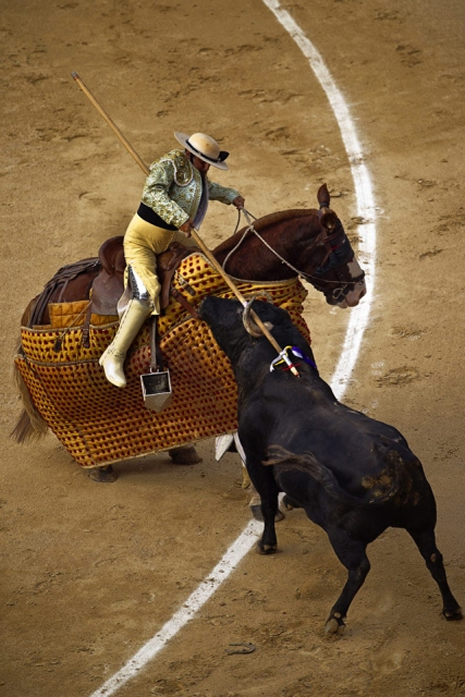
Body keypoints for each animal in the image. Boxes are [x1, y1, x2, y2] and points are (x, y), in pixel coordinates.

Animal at [11, 185, 366, 486]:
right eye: (341, 247)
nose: (359, 290)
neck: (236, 278)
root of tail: (45, 293)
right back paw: (102, 467)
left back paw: (182, 452)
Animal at [198, 296, 460, 632]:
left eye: (233, 309)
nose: (206, 300)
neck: (274, 374)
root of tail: (397, 463)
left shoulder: (256, 460)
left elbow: (268, 505)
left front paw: (267, 545)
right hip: (422, 520)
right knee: (434, 557)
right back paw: (451, 609)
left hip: (342, 533)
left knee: (360, 568)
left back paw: (335, 617)